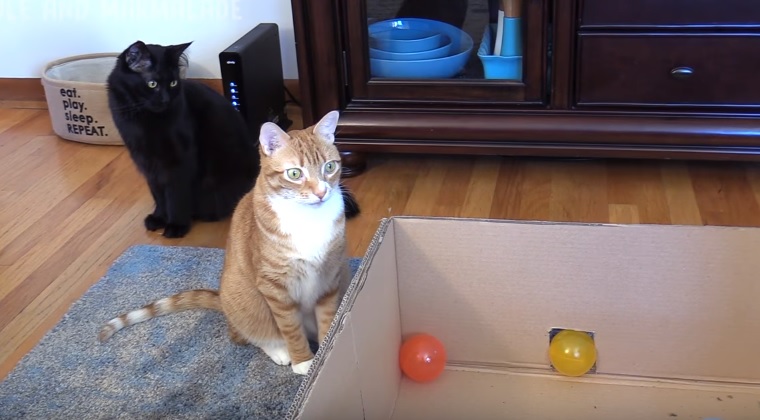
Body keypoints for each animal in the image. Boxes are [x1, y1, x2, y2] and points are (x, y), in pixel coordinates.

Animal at [98, 110, 350, 376]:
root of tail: (222, 298)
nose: (321, 193)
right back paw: (279, 350)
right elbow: (290, 328)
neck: (309, 220)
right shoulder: (275, 288)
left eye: (330, 167)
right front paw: (303, 361)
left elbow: (329, 319)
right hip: (245, 299)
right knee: (244, 335)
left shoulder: (330, 277)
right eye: (294, 173)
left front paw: (326, 352)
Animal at [105, 40, 360, 238]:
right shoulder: (145, 160)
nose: (167, 100)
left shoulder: (179, 161)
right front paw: (159, 217)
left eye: (174, 83)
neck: (145, 120)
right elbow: (157, 193)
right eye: (153, 84)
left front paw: (176, 224)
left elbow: (175, 194)